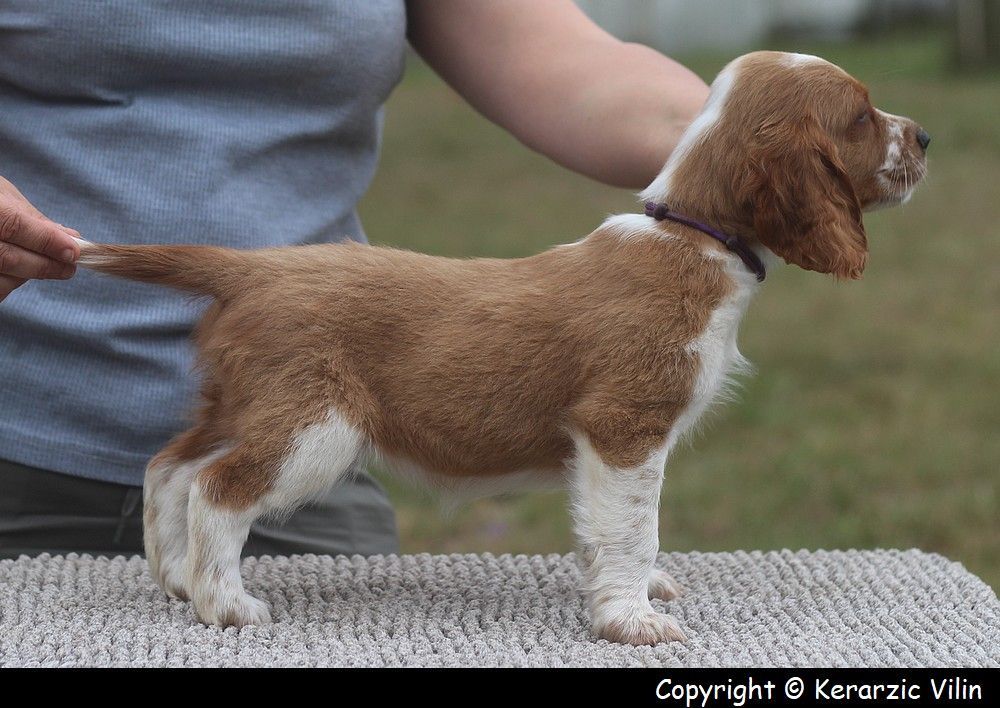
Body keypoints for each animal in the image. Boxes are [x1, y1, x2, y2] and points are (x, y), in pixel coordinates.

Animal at [78, 52, 928, 644]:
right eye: (859, 117)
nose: (924, 135)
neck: (694, 236)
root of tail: (253, 266)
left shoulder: (605, 447)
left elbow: (604, 529)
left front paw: (630, 593)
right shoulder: (625, 427)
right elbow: (634, 526)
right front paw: (631, 621)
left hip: (246, 403)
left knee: (169, 467)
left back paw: (176, 580)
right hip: (313, 427)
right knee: (217, 488)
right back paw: (225, 603)